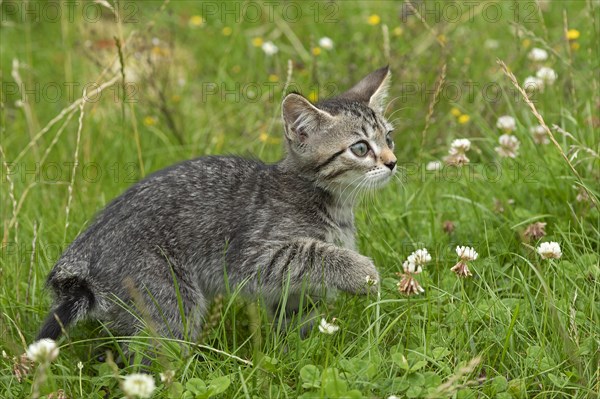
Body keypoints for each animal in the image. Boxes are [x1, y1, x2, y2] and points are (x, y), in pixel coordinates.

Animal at [35, 66, 396, 344]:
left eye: (389, 138)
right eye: (361, 148)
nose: (393, 162)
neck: (332, 202)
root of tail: (80, 259)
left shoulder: (293, 291)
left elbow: (298, 316)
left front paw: (300, 348)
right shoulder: (254, 255)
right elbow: (316, 253)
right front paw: (364, 273)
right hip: (169, 298)